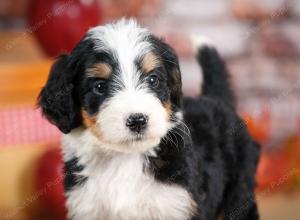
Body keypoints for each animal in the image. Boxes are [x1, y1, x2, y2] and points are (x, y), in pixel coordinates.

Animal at [38, 19, 260, 220]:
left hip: (239, 189)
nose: (137, 120)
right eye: (99, 86)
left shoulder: (179, 204)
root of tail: (215, 99)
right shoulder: (87, 207)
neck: (124, 159)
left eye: (153, 79)